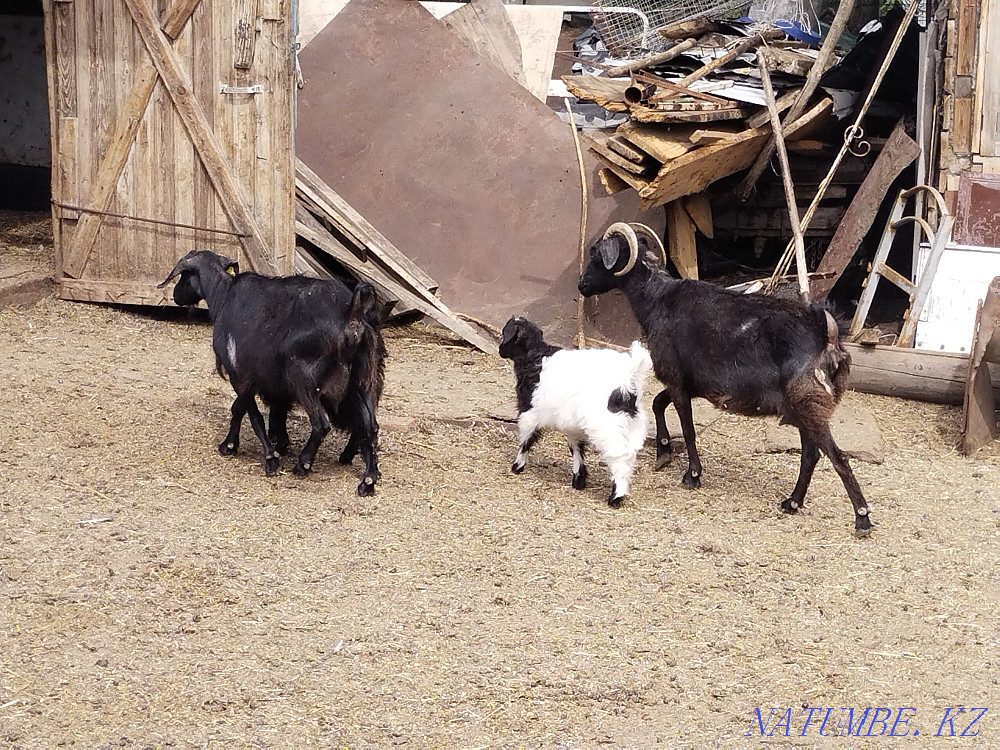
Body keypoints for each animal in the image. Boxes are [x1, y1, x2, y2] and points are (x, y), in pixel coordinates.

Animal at [158, 250, 386, 496]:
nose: (175, 295)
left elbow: (252, 414)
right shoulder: (257, 380)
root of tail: (352, 317)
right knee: (371, 426)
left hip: (304, 379)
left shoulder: (239, 374)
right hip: (362, 381)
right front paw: (231, 445)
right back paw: (368, 479)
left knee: (321, 424)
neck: (223, 294)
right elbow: (241, 408)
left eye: (184, 275)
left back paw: (303, 464)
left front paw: (270, 459)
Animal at [498, 316, 652, 507]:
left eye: (505, 333)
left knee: (619, 457)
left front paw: (517, 466)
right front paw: (579, 480)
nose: (500, 350)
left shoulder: (529, 411)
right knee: (630, 455)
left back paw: (615, 497)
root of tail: (628, 380)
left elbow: (526, 439)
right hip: (633, 425)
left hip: (607, 427)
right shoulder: (572, 424)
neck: (534, 357)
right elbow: (576, 447)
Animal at [577, 223, 872, 535]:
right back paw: (792, 503)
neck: (657, 299)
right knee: (810, 456)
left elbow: (688, 428)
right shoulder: (688, 381)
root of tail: (828, 337)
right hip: (805, 409)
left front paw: (692, 475)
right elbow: (658, 403)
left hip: (809, 405)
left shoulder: (676, 379)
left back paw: (862, 518)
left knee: (837, 457)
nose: (581, 284)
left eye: (596, 255)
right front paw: (664, 453)